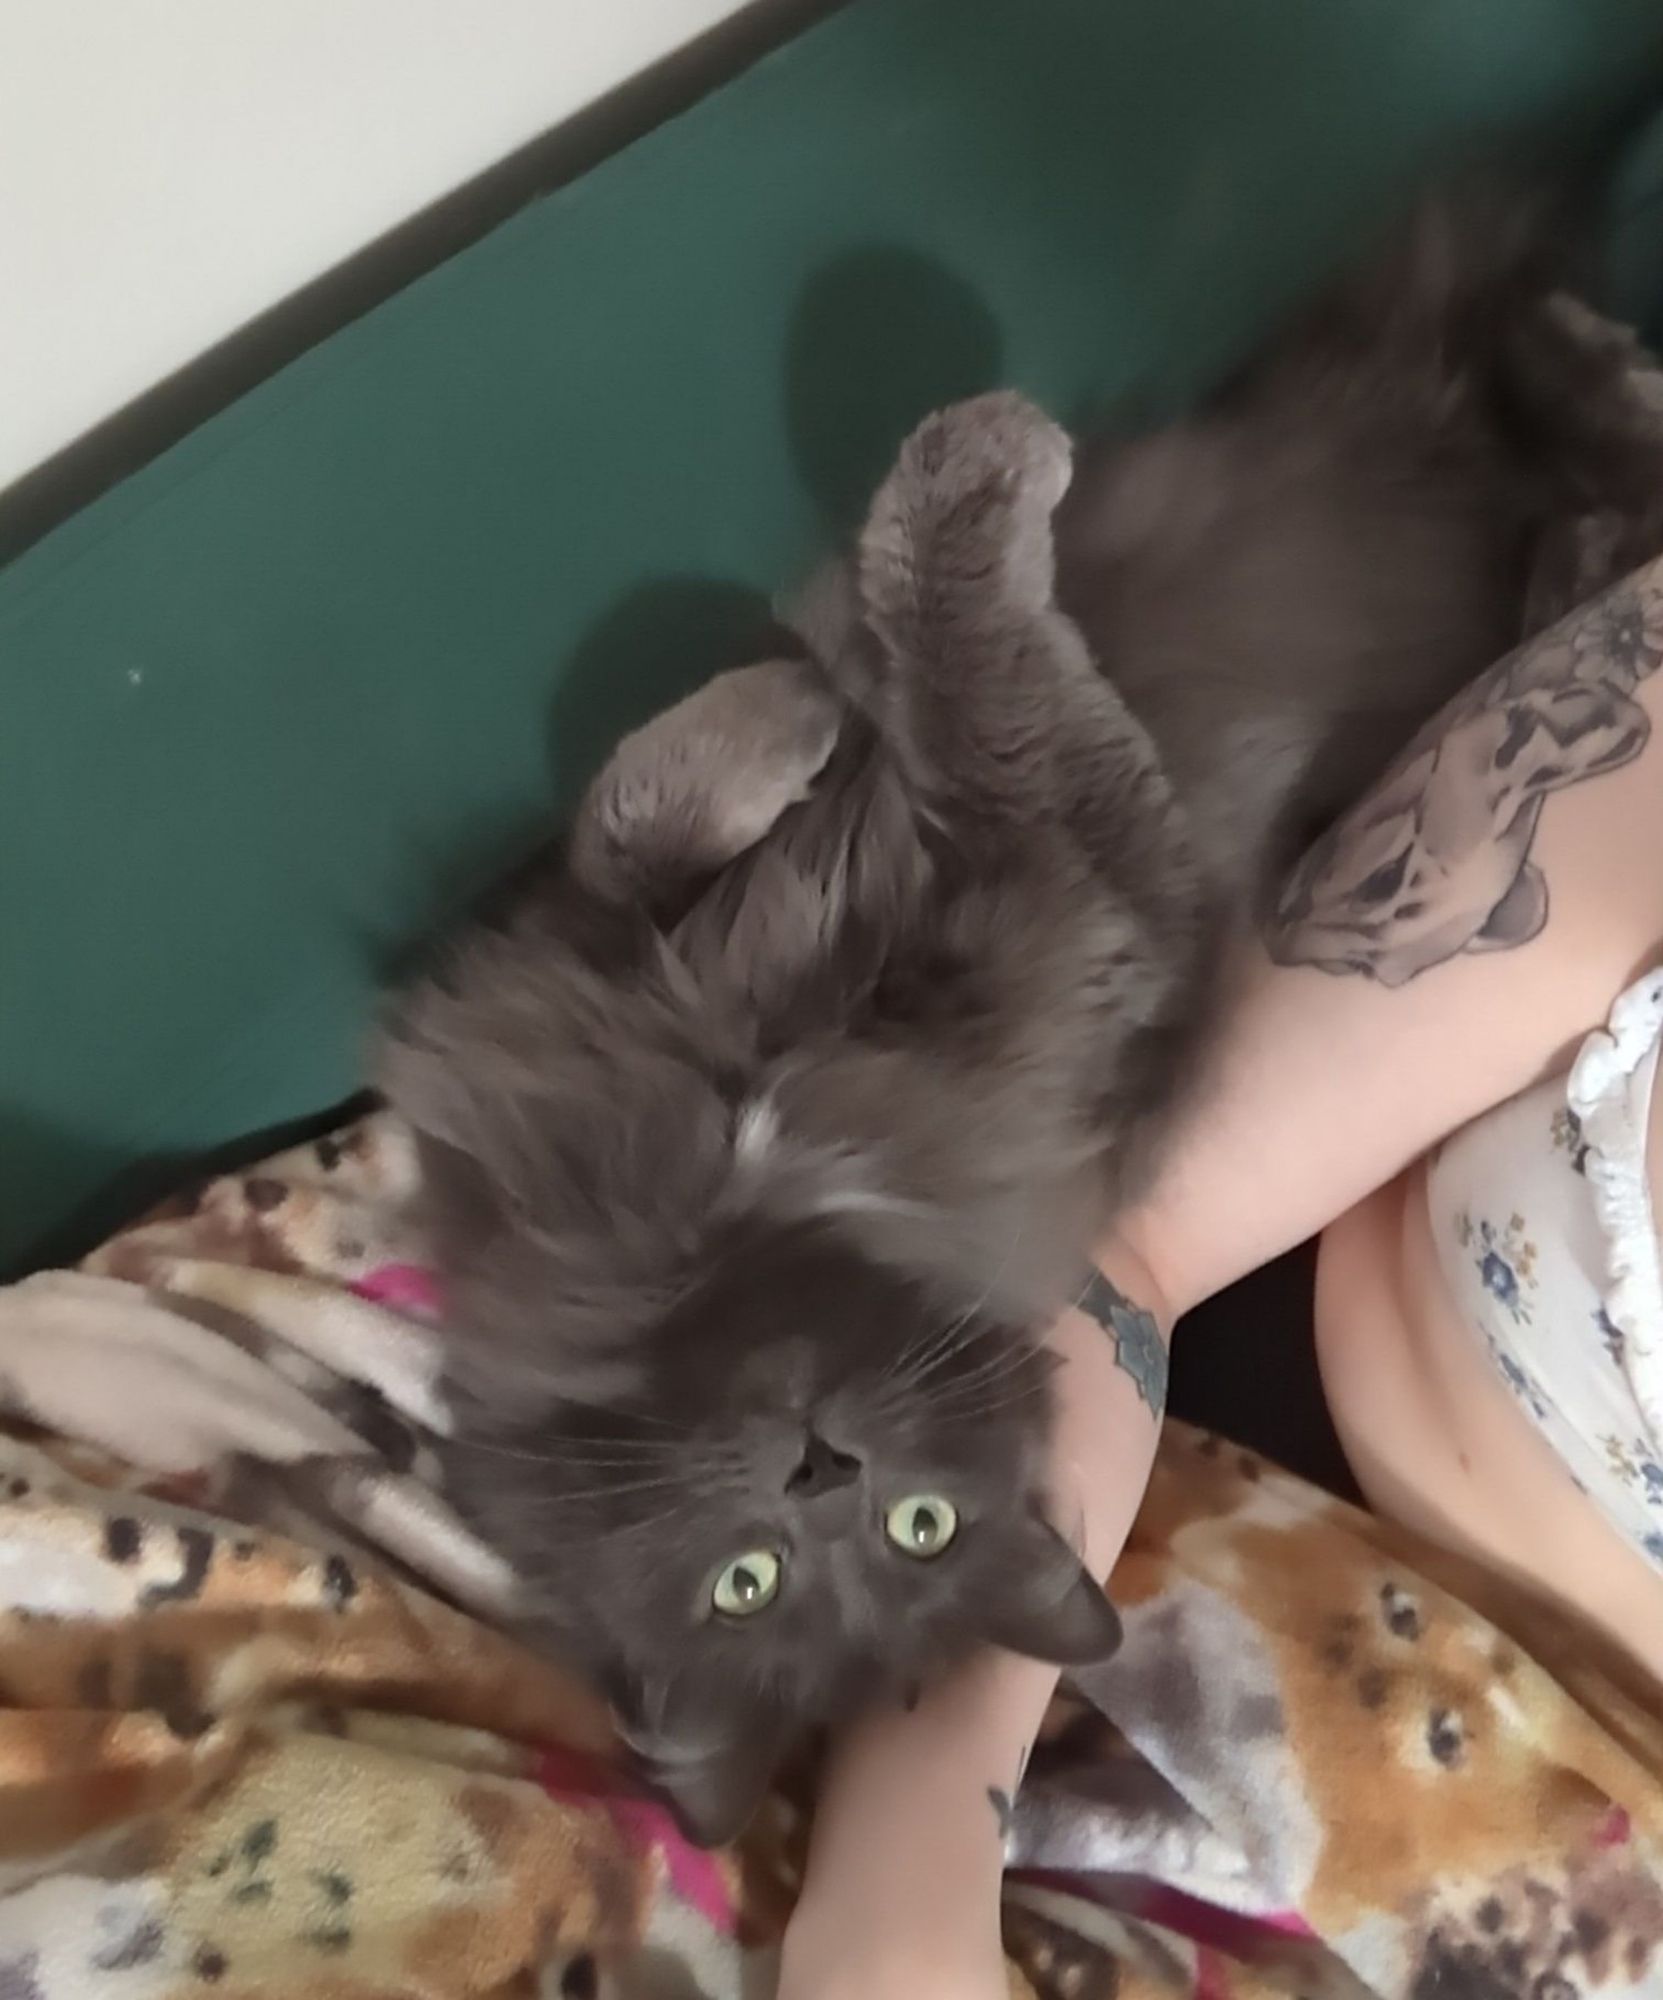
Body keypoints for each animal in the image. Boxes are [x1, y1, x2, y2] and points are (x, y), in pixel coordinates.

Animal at [383, 199, 1663, 1840]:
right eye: (750, 1585)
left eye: (916, 1522)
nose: (816, 1469)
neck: (733, 1236)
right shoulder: (1073, 908)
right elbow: (950, 700)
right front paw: (951, 508)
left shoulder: (665, 967)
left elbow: (669, 799)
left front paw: (806, 692)